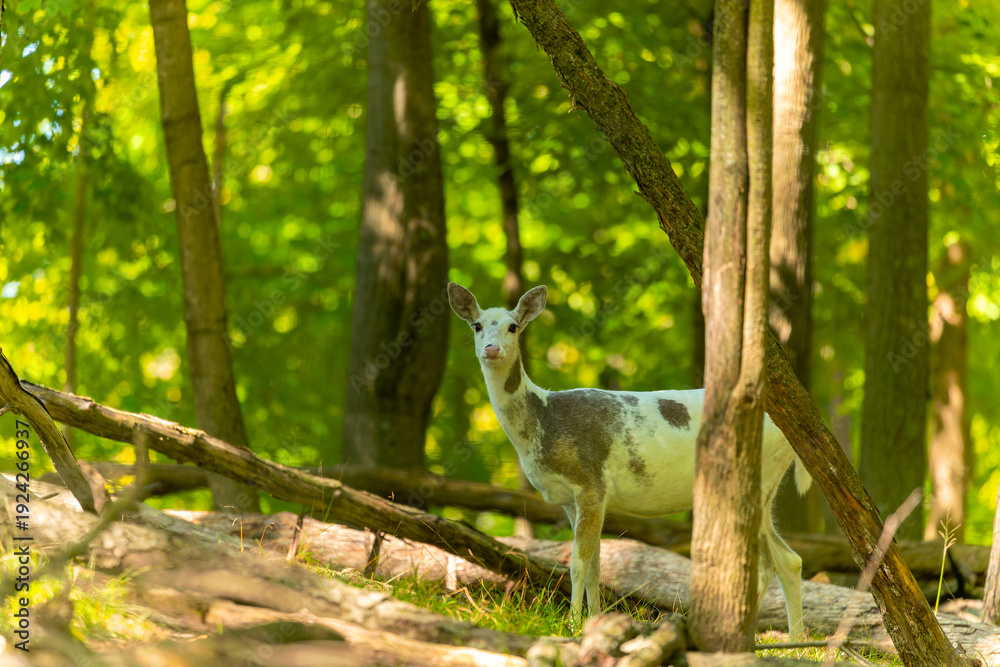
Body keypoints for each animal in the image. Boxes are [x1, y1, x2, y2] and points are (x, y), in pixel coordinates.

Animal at [447, 281, 810, 638]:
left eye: (513, 326)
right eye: (477, 325)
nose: (491, 349)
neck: (544, 423)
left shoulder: (590, 482)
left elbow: (577, 563)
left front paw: (571, 627)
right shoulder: (569, 499)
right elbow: (595, 566)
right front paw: (592, 622)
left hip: (759, 476)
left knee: (769, 564)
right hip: (766, 485)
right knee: (788, 559)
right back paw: (796, 642)